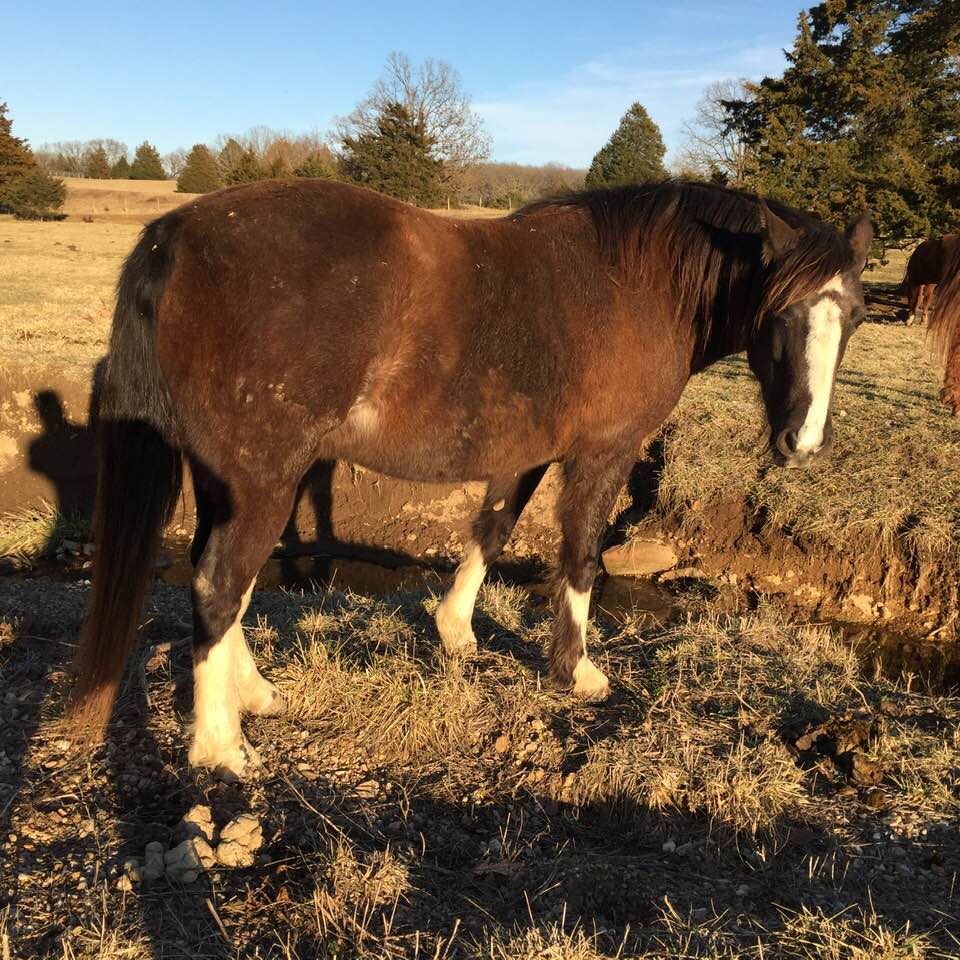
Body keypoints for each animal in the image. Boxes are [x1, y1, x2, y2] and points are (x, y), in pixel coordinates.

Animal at [68, 178, 872, 779]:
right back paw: (219, 748)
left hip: (228, 481)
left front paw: (455, 631)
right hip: (264, 479)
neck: (639, 284)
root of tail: (179, 232)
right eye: (780, 311)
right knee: (219, 583)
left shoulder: (526, 452)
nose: (804, 443)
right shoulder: (603, 454)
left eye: (858, 317)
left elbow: (492, 531)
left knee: (220, 581)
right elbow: (581, 557)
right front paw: (576, 672)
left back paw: (254, 694)